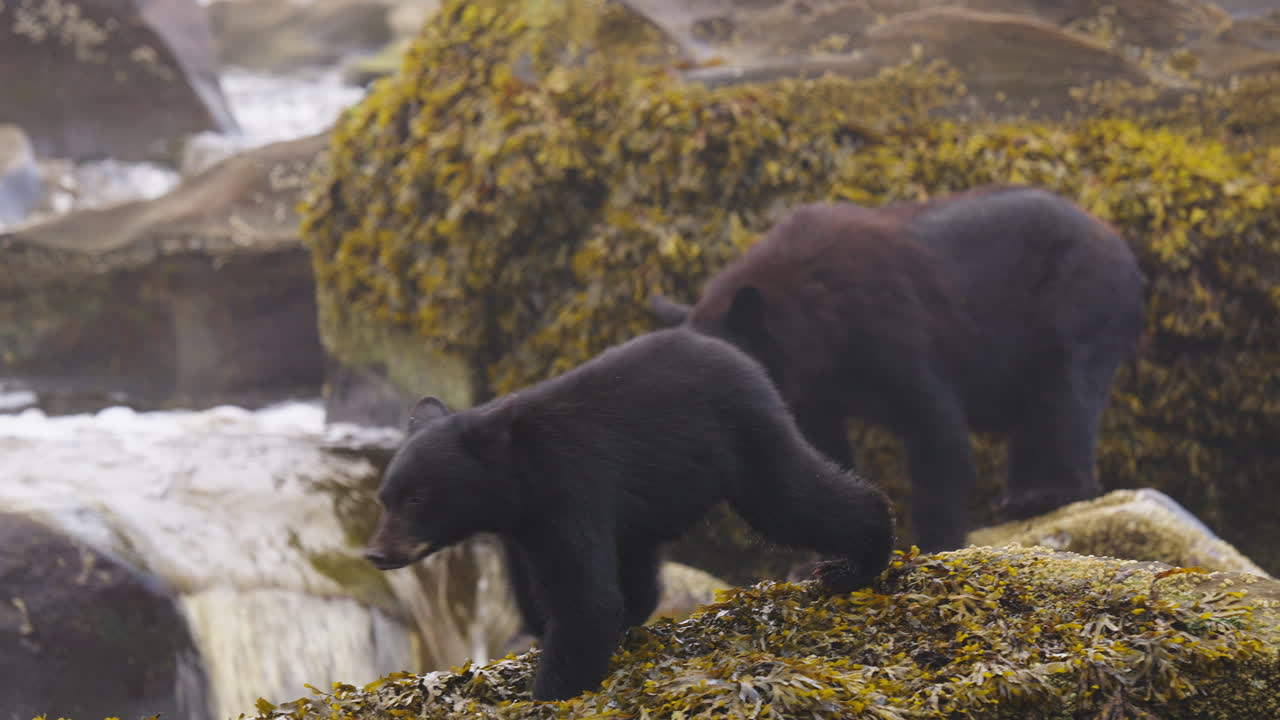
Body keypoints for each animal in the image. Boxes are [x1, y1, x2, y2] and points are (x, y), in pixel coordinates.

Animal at [363, 327, 896, 702]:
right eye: (384, 497)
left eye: (417, 498)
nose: (376, 553)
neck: (519, 480)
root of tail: (740, 357)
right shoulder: (524, 528)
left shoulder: (570, 490)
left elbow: (586, 599)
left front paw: (551, 690)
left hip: (743, 437)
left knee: (791, 498)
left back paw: (856, 562)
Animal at [650, 185, 1145, 553]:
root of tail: (1118, 241)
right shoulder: (814, 395)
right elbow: (817, 459)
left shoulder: (893, 330)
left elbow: (938, 435)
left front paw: (936, 542)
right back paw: (1023, 495)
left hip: (1077, 300)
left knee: (1067, 396)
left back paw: (1048, 494)